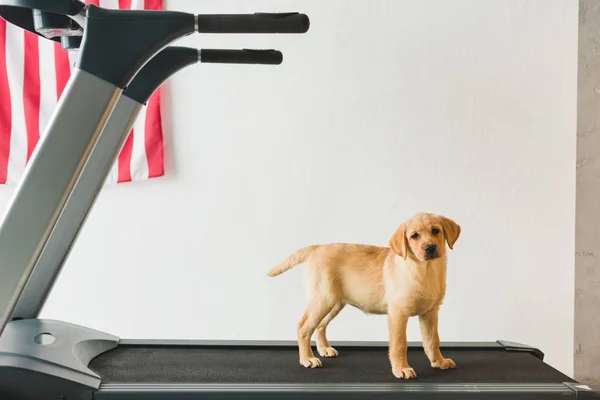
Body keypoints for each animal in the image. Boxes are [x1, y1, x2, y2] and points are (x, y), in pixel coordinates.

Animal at [268, 212, 460, 378]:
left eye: (435, 231)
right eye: (414, 236)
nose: (430, 248)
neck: (425, 271)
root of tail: (317, 248)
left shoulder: (430, 312)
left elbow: (433, 340)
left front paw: (439, 361)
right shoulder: (398, 313)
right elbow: (399, 344)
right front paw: (401, 369)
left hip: (334, 302)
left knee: (320, 325)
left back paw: (324, 349)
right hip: (322, 299)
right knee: (303, 327)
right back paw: (307, 359)